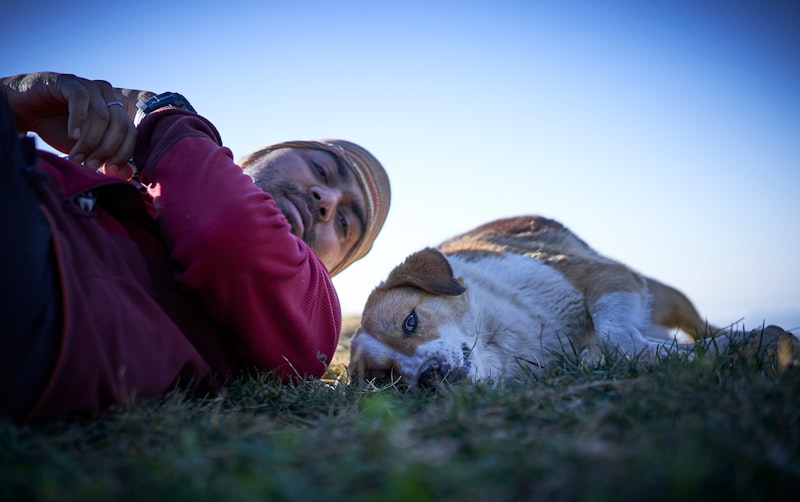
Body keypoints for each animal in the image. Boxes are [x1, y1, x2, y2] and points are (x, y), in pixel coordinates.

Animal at [348, 214, 792, 386]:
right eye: (387, 377)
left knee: (697, 325)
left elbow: (615, 337)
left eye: (410, 321)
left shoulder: (607, 279)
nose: (429, 377)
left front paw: (742, 345)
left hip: (665, 294)